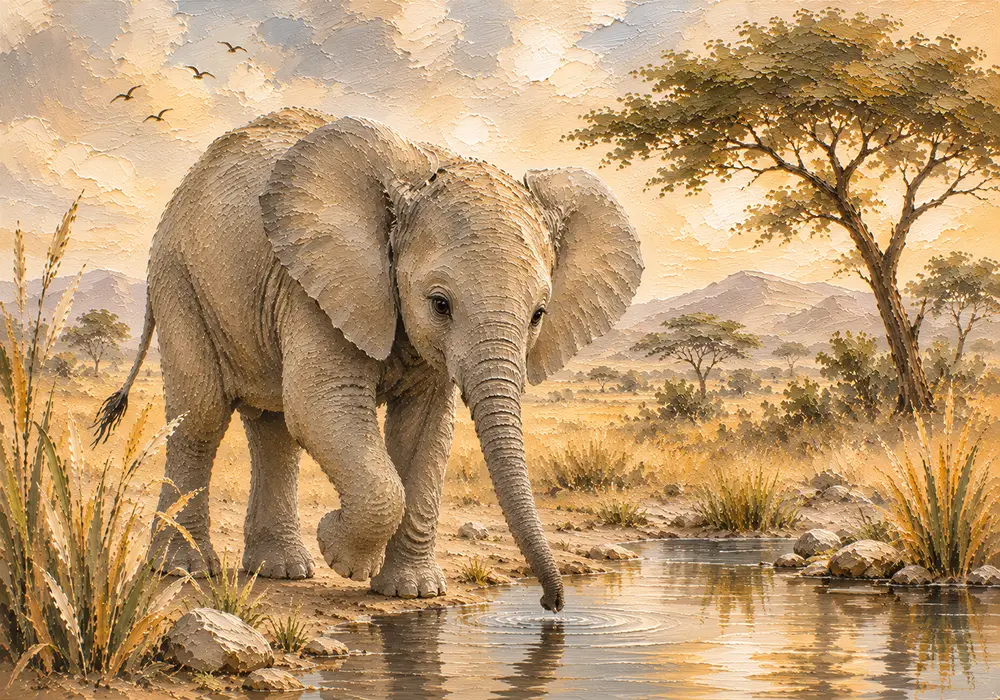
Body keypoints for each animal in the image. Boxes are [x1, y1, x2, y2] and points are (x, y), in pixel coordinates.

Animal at [95, 107, 642, 612]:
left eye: (538, 315)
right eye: (439, 303)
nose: (552, 605)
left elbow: (425, 432)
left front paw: (411, 592)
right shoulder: (316, 284)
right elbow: (323, 405)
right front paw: (341, 553)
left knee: (274, 430)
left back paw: (282, 571)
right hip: (179, 276)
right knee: (203, 415)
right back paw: (184, 569)